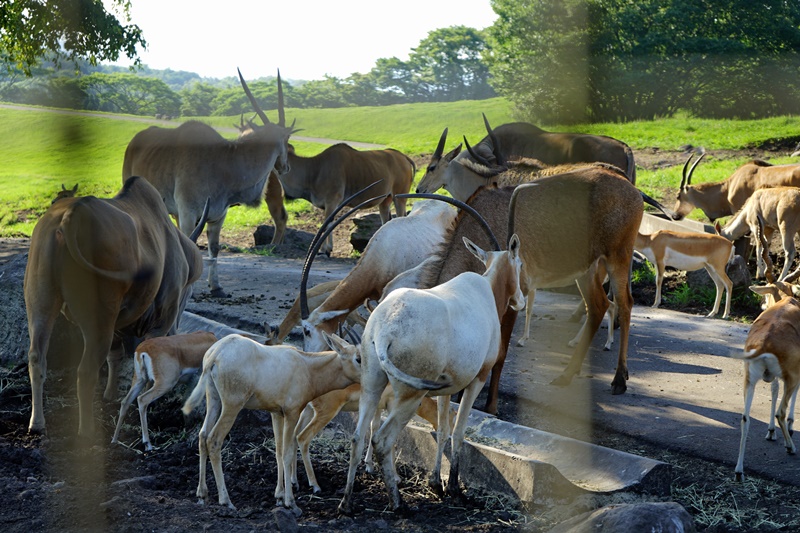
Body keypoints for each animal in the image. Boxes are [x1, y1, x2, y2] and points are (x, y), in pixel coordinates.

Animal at [120, 68, 292, 298]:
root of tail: (135, 141)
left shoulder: (217, 217)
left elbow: (214, 247)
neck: (223, 161)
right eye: (286, 138)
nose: (285, 166)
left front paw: (216, 286)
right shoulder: (188, 213)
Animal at [183, 332, 360, 516]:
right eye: (358, 358)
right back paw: (226, 501)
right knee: (214, 440)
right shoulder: (291, 413)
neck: (306, 366)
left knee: (203, 435)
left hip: (213, 399)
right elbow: (287, 453)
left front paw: (279, 497)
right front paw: (291, 503)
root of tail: (216, 353)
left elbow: (279, 452)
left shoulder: (276, 414)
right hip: (232, 405)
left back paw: (202, 495)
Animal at [336, 235, 524, 512]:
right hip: (411, 395)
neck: (487, 291)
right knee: (382, 440)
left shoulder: (447, 388)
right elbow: (459, 431)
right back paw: (398, 503)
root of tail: (384, 330)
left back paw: (346, 504)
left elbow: (443, 429)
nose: (520, 300)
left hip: (372, 383)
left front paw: (436, 484)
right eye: (519, 263)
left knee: (358, 437)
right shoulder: (477, 380)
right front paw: (455, 489)